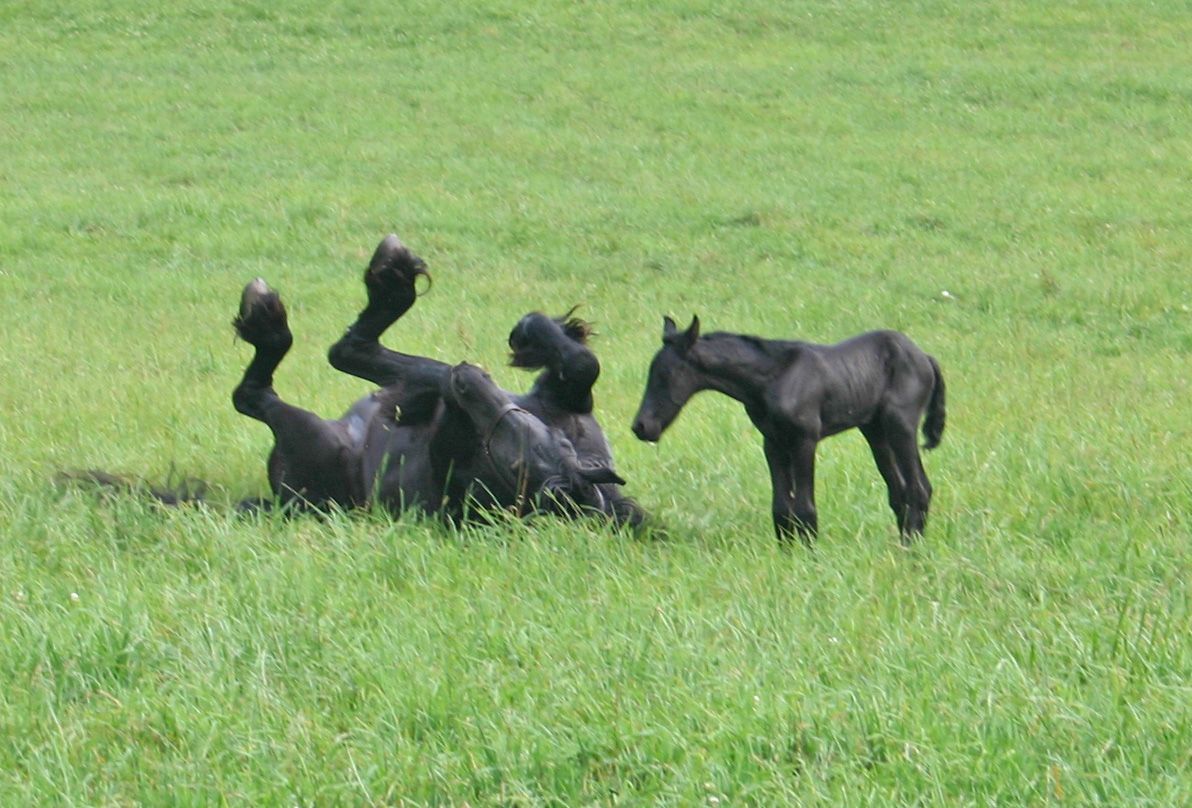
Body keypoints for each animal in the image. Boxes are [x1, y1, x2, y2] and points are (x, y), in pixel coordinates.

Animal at [230, 234, 647, 528]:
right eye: (557, 439)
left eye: (518, 467)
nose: (472, 379)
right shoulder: (563, 399)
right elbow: (582, 363)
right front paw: (533, 333)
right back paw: (392, 283)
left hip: (308, 438)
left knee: (254, 394)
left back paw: (270, 322)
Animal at [631, 316, 945, 544]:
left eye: (666, 374)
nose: (641, 427)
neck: (772, 378)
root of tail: (925, 357)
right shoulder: (773, 442)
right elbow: (782, 508)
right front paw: (788, 552)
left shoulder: (804, 441)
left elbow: (804, 507)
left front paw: (809, 553)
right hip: (875, 431)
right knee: (899, 492)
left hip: (900, 426)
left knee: (919, 488)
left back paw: (911, 548)